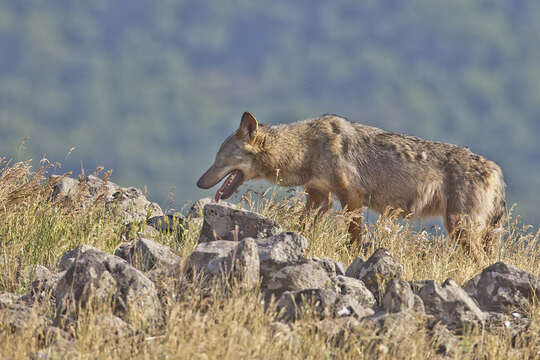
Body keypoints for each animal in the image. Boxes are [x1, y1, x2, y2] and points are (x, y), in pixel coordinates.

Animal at [198, 112, 506, 253]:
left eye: (221, 158)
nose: (200, 182)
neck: (306, 149)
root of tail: (496, 169)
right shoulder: (319, 198)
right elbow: (301, 225)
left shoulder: (352, 197)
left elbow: (354, 237)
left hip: (459, 229)